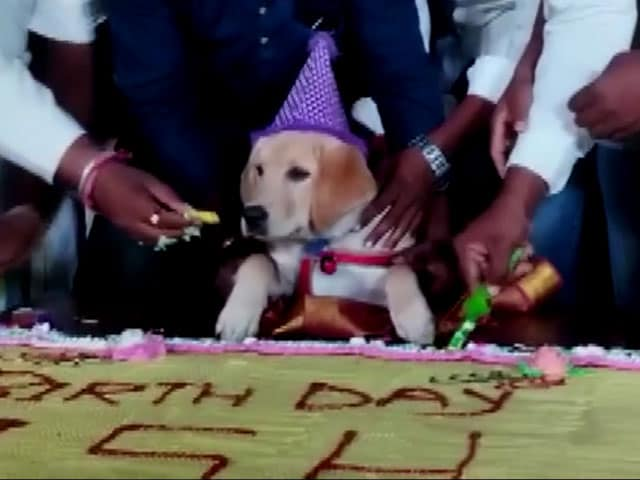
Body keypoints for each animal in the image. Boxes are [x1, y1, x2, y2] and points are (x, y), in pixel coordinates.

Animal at [215, 130, 436, 344]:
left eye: (298, 174)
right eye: (259, 170)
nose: (251, 215)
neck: (320, 244)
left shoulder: (369, 295)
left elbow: (400, 269)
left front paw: (415, 318)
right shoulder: (287, 289)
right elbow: (258, 260)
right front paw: (237, 315)